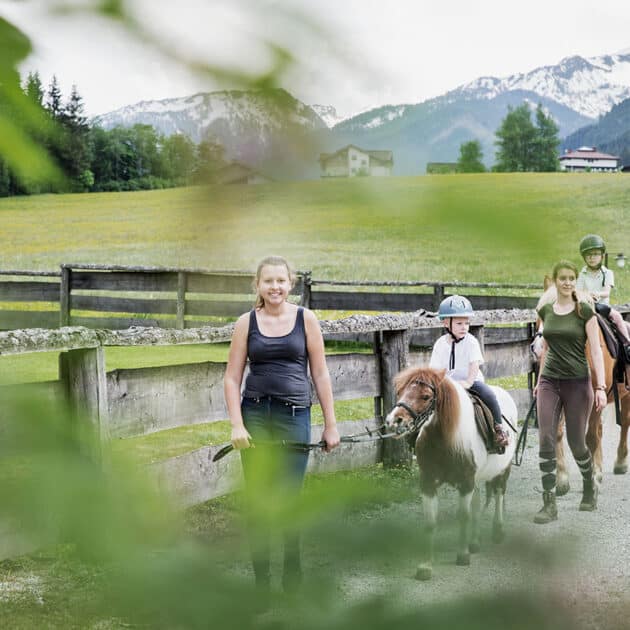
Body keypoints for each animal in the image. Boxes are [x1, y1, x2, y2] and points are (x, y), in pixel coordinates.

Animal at [386, 368, 520, 584]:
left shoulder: (465, 483)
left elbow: (463, 516)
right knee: (478, 504)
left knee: (499, 493)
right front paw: (425, 566)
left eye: (426, 396)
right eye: (400, 392)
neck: (445, 439)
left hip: (502, 469)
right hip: (477, 479)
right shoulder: (428, 483)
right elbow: (430, 521)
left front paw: (462, 555)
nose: (393, 421)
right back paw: (475, 541)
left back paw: (498, 531)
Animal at [532, 278, 630, 496]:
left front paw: (593, 480)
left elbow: (591, 437)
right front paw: (562, 480)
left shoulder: (594, 399)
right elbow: (558, 433)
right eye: (538, 315)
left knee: (624, 423)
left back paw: (619, 463)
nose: (538, 348)